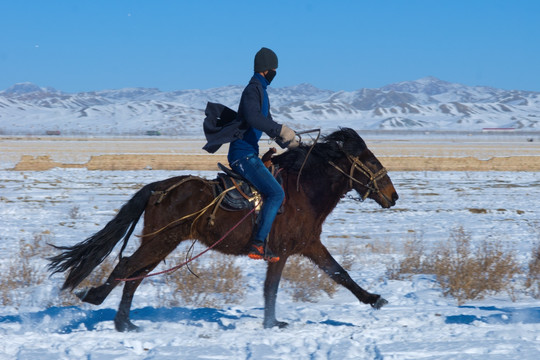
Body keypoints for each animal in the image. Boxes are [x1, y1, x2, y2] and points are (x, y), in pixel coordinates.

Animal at [48, 127, 398, 332]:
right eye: (369, 161)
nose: (393, 196)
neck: (304, 191)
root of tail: (158, 189)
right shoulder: (286, 250)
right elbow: (283, 286)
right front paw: (273, 323)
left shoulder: (307, 246)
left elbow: (337, 273)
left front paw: (373, 299)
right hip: (161, 241)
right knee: (125, 267)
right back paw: (98, 301)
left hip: (162, 243)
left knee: (135, 276)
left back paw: (126, 323)